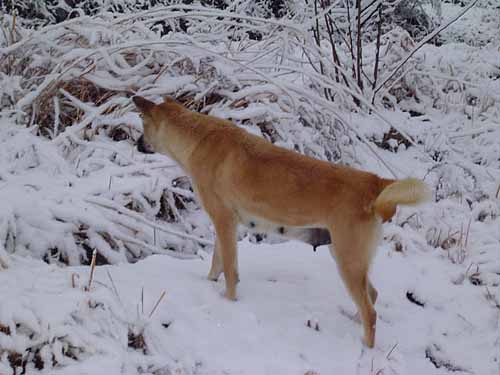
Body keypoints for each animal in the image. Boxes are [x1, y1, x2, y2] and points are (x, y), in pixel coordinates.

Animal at [132, 95, 430, 348]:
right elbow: (216, 264)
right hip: (347, 258)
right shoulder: (223, 225)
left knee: (371, 313)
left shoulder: (224, 222)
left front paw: (228, 303)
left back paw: (363, 347)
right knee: (373, 297)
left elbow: (229, 272)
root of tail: (375, 182)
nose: (135, 144)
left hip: (348, 261)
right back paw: (352, 322)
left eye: (142, 125)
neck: (196, 137)